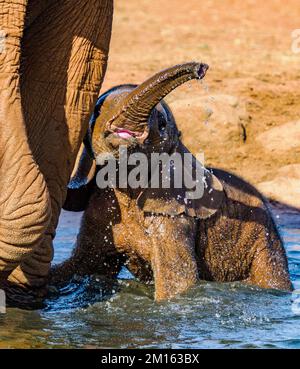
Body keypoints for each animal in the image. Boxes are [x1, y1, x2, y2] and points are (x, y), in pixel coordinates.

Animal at [52, 63, 292, 300]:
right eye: (98, 110)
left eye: (162, 124)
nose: (201, 68)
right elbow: (80, 265)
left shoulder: (174, 215)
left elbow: (177, 283)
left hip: (265, 242)